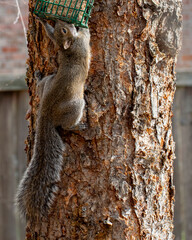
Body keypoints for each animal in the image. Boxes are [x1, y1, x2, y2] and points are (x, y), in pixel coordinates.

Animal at [15, 19, 91, 221]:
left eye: (61, 29)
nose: (58, 20)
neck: (68, 49)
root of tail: (45, 113)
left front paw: (43, 21)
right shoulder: (82, 44)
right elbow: (86, 35)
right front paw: (85, 24)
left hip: (48, 82)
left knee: (41, 86)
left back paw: (38, 77)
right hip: (76, 106)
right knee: (66, 125)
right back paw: (79, 126)